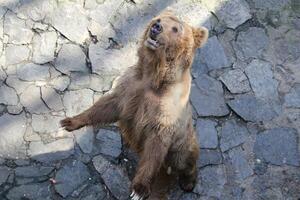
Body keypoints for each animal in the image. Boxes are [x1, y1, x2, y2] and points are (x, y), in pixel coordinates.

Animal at [59, 10, 207, 200]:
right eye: (159, 19)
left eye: (175, 28)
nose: (156, 27)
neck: (155, 74)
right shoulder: (130, 88)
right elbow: (107, 106)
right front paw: (70, 122)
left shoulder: (166, 110)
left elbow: (155, 144)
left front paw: (139, 189)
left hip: (182, 143)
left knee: (184, 161)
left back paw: (188, 182)